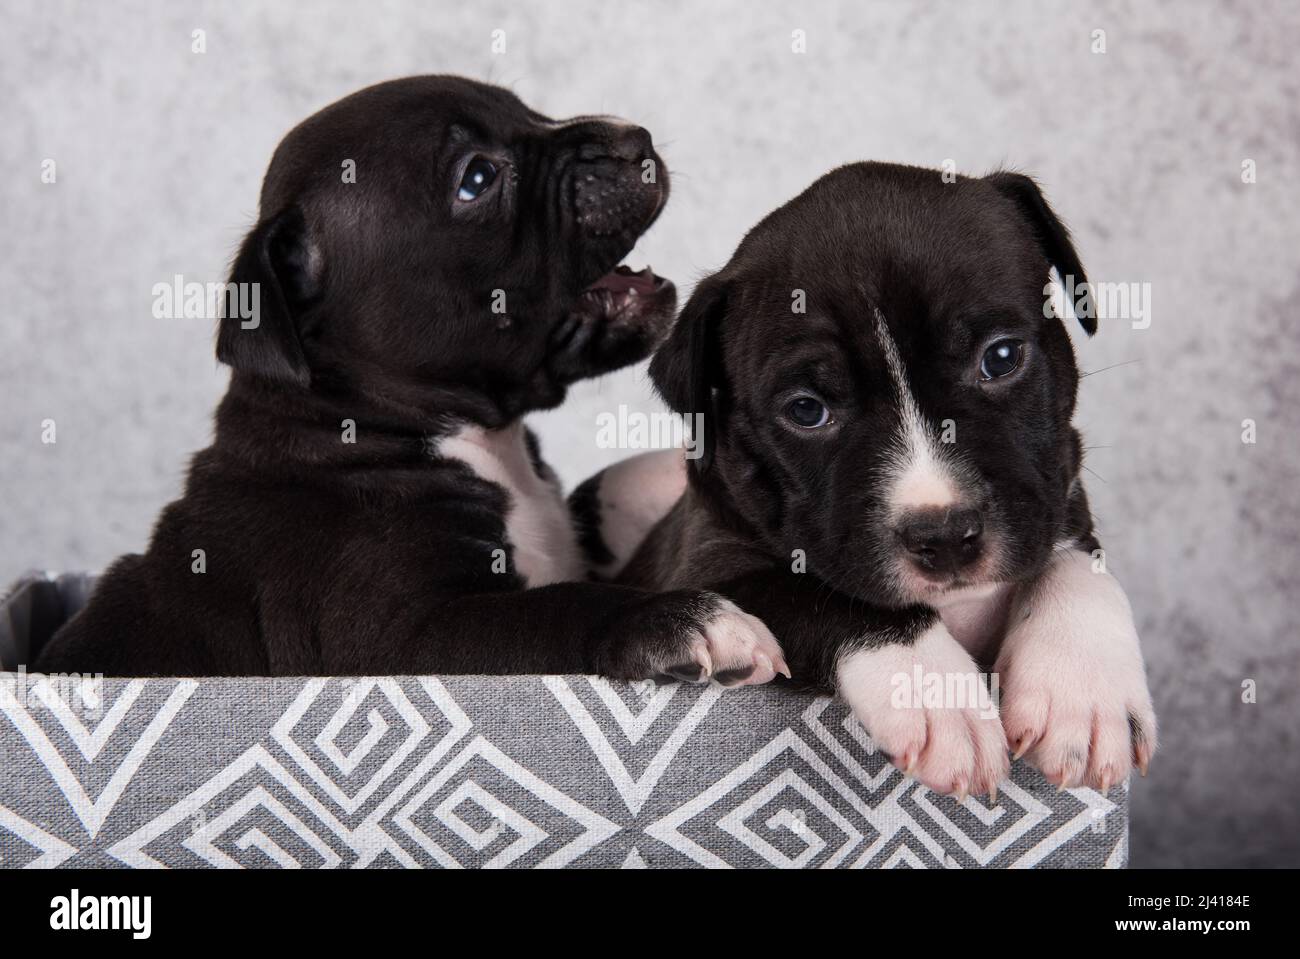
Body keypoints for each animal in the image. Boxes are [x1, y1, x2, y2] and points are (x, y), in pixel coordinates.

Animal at [35, 80, 780, 680]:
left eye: (528, 109)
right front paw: (682, 620)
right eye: (477, 178)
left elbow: (606, 496)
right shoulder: (400, 639)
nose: (633, 138)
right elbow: (554, 610)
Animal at [574, 162, 1164, 790]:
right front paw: (932, 690)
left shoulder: (1056, 495)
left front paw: (1084, 687)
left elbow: (1077, 559)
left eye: (1002, 357)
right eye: (806, 410)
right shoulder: (715, 564)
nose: (944, 536)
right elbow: (828, 594)